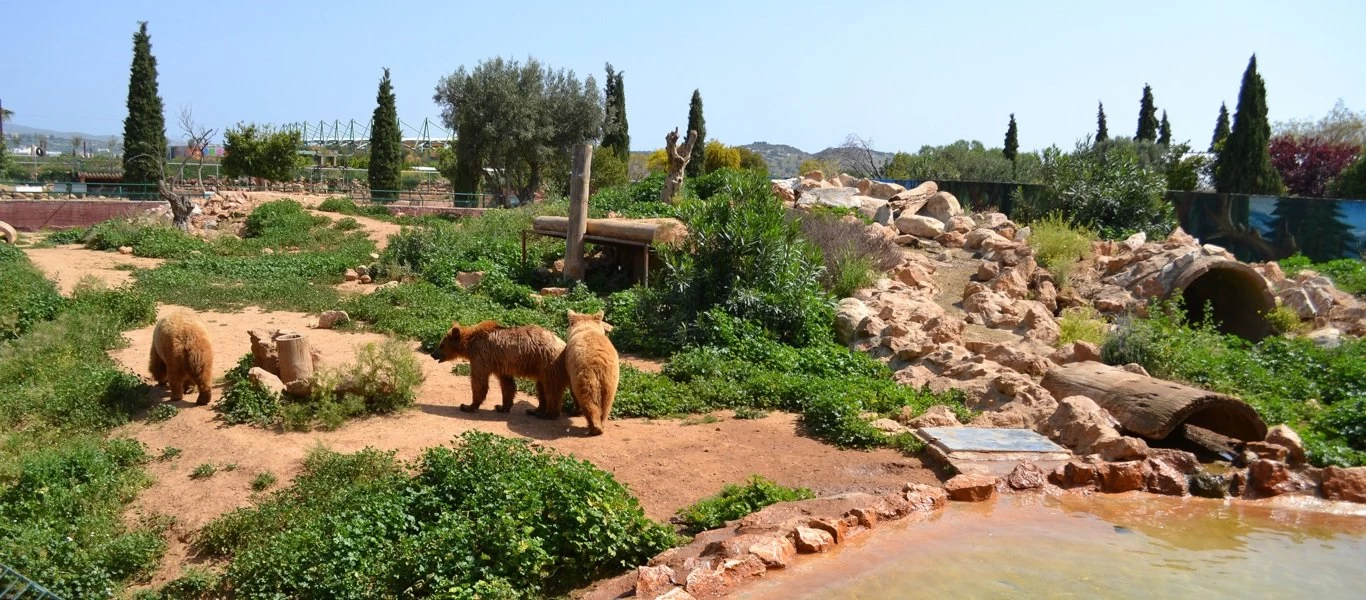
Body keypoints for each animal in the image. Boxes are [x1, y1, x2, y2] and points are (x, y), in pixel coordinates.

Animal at [434, 321, 568, 415]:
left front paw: (467, 406)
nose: (433, 354)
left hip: (548, 362)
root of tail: (563, 343)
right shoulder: (500, 364)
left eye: (441, 345)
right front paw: (502, 406)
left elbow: (479, 381)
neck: (470, 344)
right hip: (542, 367)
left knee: (551, 388)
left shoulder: (482, 355)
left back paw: (548, 414)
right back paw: (535, 410)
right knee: (541, 387)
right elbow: (507, 384)